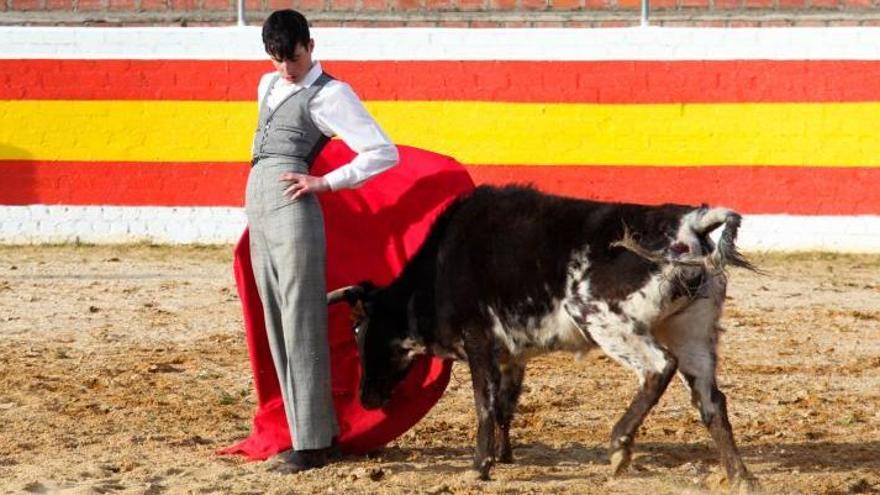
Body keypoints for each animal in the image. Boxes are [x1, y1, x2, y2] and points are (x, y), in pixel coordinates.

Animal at [328, 185, 756, 488]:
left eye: (364, 333)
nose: (366, 399)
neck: (435, 274)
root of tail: (690, 223)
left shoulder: (478, 341)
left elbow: (484, 404)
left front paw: (479, 467)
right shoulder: (510, 356)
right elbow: (505, 405)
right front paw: (504, 457)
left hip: (603, 317)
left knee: (658, 366)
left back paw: (619, 446)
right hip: (692, 331)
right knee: (711, 400)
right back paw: (739, 477)